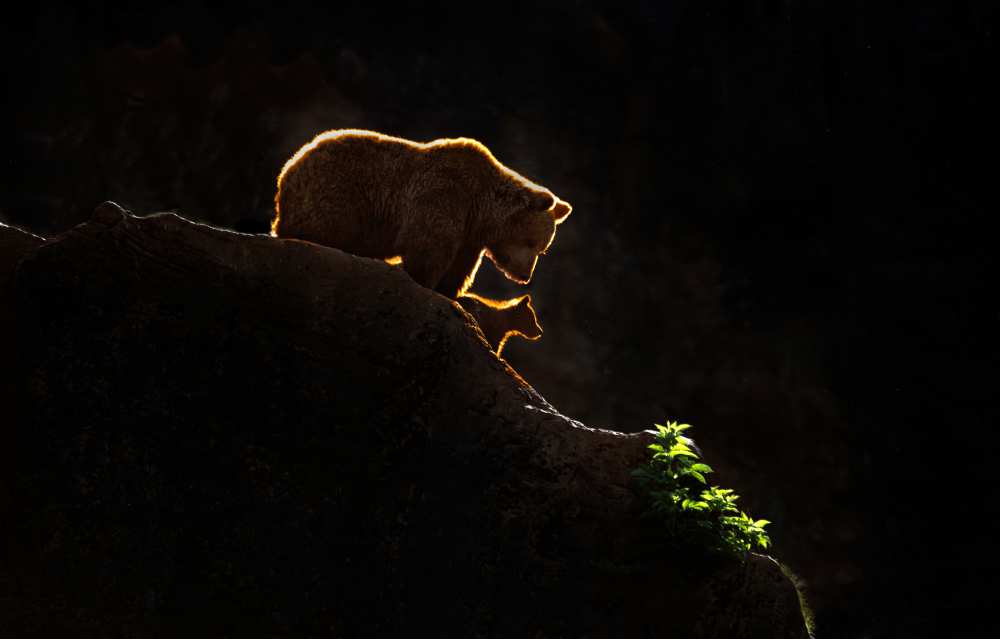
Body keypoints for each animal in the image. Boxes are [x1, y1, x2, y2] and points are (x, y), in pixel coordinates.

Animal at [272, 129, 572, 298]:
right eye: (532, 243)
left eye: (542, 249)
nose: (525, 275)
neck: (481, 209)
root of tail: (287, 170)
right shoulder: (445, 194)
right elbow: (427, 245)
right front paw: (424, 281)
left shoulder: (469, 235)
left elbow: (460, 267)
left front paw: (450, 292)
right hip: (335, 190)